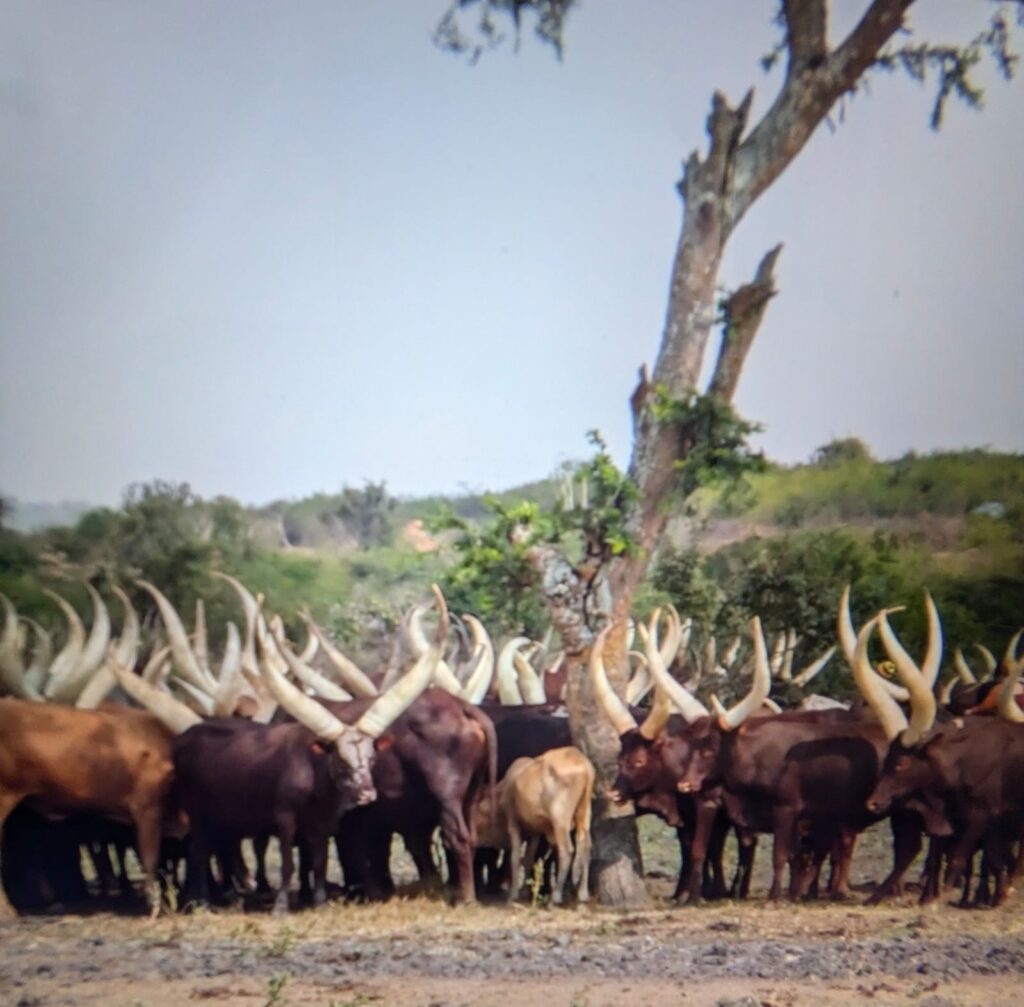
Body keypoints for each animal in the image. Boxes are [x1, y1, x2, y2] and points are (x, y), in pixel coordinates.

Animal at [475, 749, 598, 905]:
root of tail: (583, 764)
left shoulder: (513, 822)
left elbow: (515, 857)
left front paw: (513, 894)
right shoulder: (535, 832)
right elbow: (529, 858)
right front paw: (523, 891)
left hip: (560, 821)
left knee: (567, 851)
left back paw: (556, 896)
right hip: (585, 813)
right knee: (586, 847)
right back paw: (583, 893)